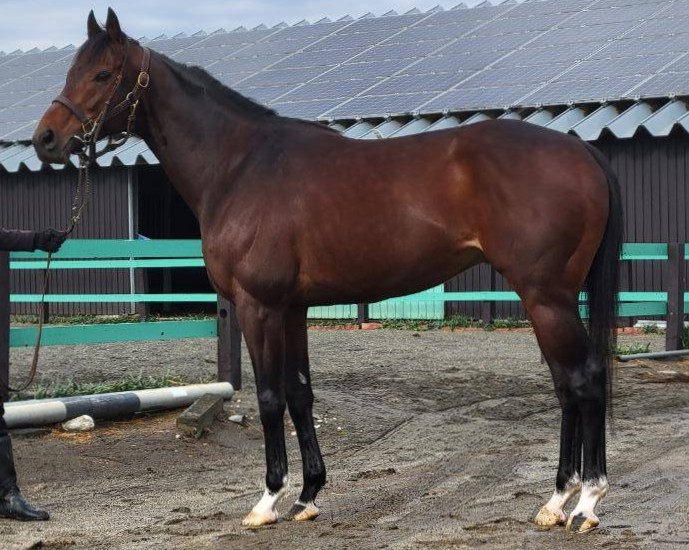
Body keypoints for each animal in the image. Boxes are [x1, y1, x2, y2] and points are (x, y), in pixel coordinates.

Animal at [33, 9, 622, 534]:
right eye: (70, 70)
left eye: (102, 74)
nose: (46, 140)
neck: (240, 166)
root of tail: (579, 149)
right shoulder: (292, 308)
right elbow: (300, 396)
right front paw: (307, 495)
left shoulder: (258, 306)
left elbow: (270, 398)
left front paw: (267, 500)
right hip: (549, 299)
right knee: (567, 385)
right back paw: (557, 502)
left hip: (546, 296)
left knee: (583, 380)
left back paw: (584, 501)